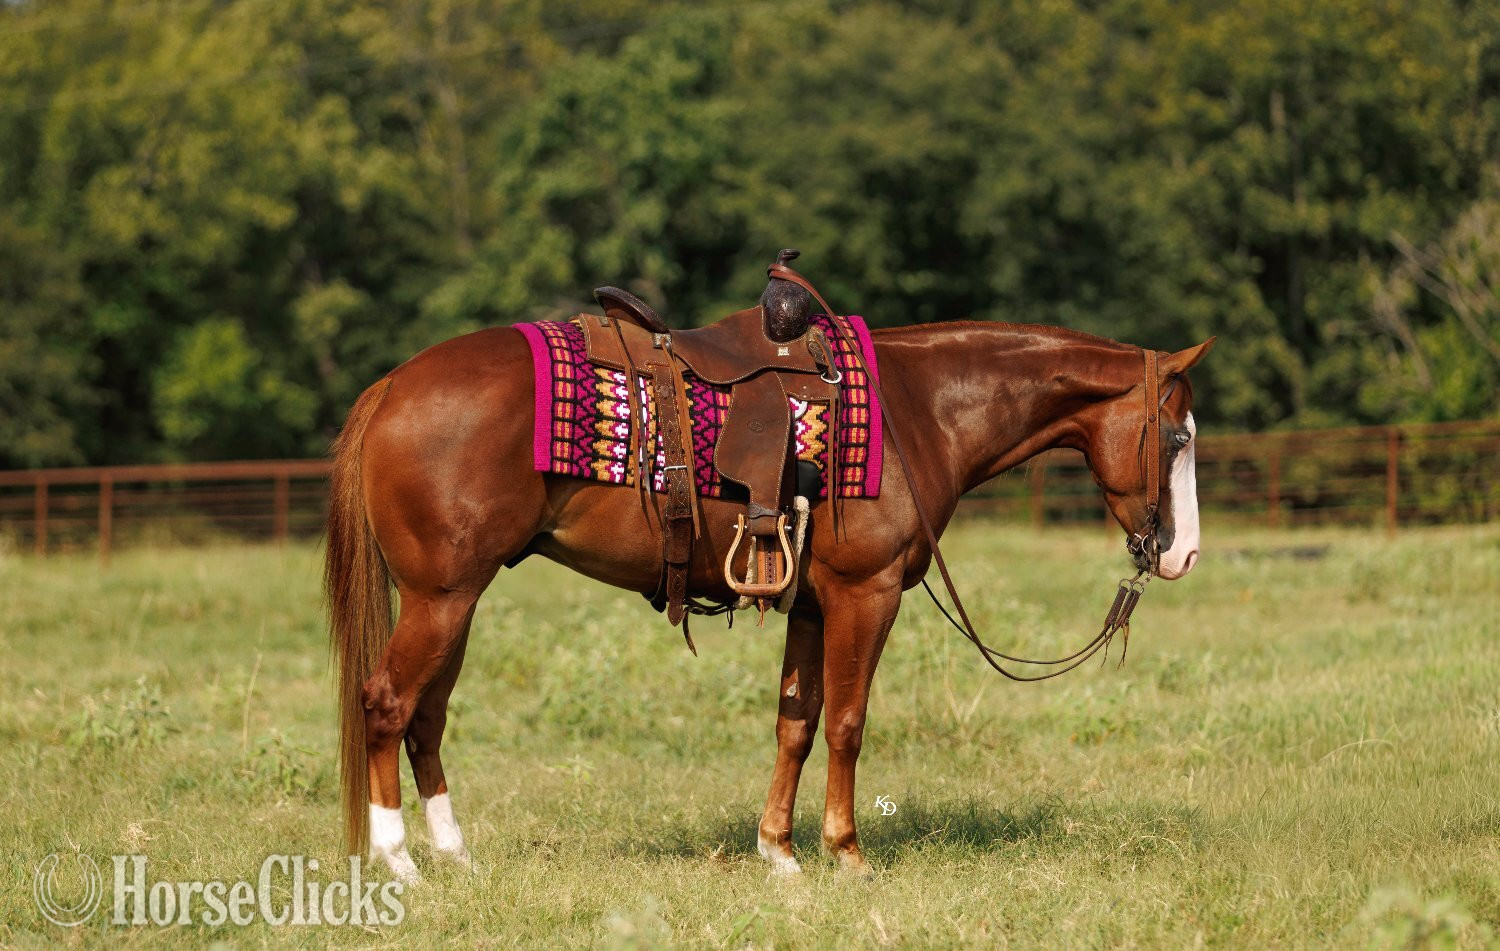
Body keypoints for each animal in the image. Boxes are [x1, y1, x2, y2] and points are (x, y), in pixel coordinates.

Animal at [325, 314, 1215, 881]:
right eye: (1177, 436)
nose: (1183, 553)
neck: (919, 409)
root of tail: (393, 385)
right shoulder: (866, 594)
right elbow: (849, 723)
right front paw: (847, 853)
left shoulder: (814, 606)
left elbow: (798, 721)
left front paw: (780, 851)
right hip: (441, 597)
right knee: (385, 702)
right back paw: (398, 859)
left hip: (456, 601)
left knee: (426, 717)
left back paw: (454, 853)